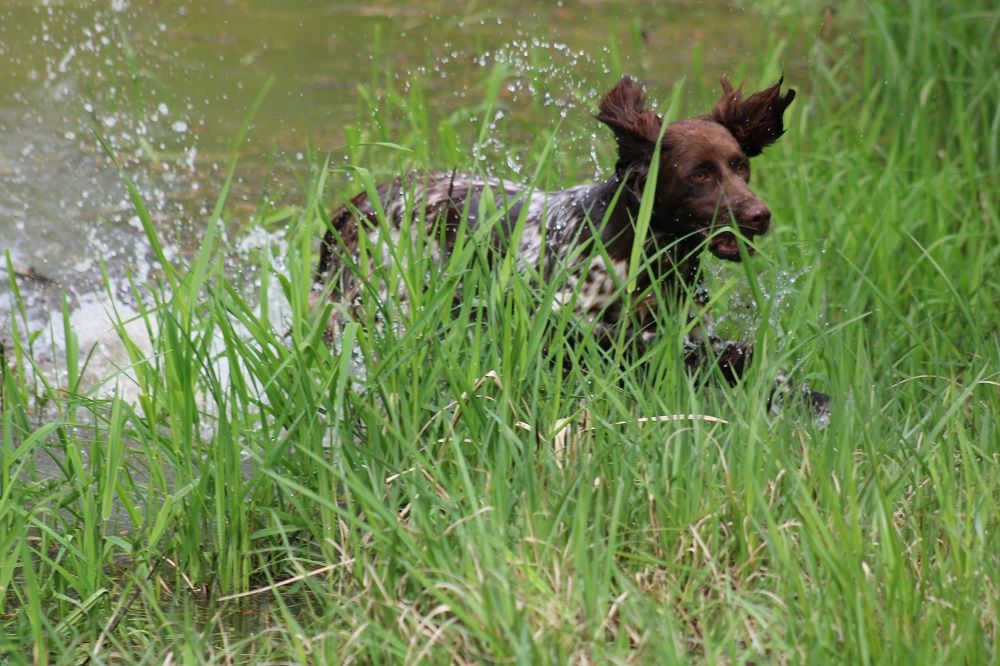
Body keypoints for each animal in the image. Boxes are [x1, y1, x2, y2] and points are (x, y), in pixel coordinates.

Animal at [312, 75, 828, 412]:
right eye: (699, 174)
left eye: (740, 165)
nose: (759, 215)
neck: (645, 252)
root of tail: (356, 204)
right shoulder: (567, 322)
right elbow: (661, 347)